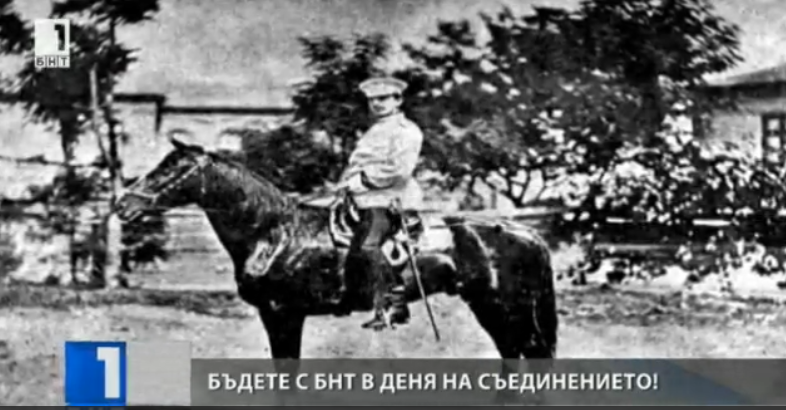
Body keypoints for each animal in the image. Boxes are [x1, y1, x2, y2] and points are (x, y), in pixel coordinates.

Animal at [115, 138, 556, 362]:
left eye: (173, 168)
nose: (124, 204)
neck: (274, 233)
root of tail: (527, 235)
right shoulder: (279, 316)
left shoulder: (283, 314)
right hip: (492, 309)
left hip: (506, 308)